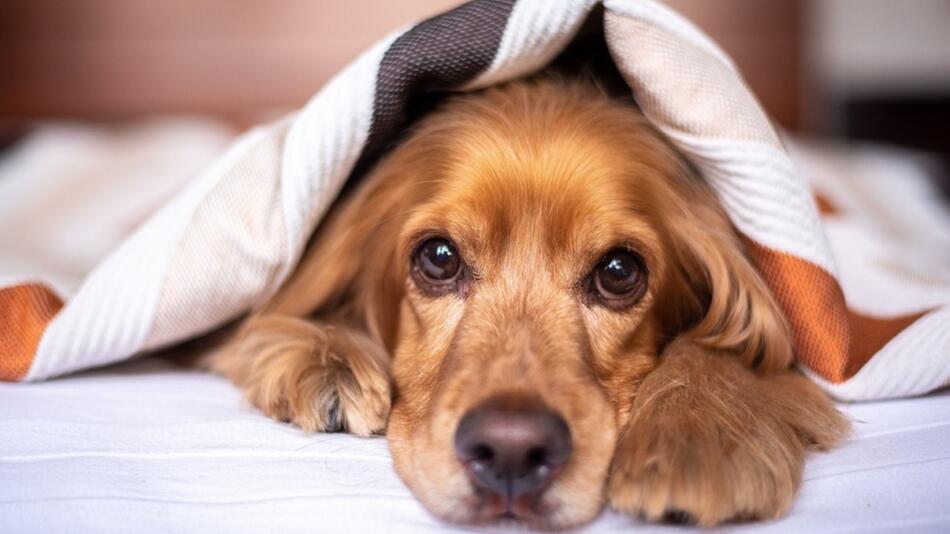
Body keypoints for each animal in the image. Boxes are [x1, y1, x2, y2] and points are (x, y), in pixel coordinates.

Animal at [203, 77, 848, 528]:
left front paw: (698, 434)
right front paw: (327, 358)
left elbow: (734, 345)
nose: (511, 451)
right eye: (439, 258)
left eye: (619, 272)